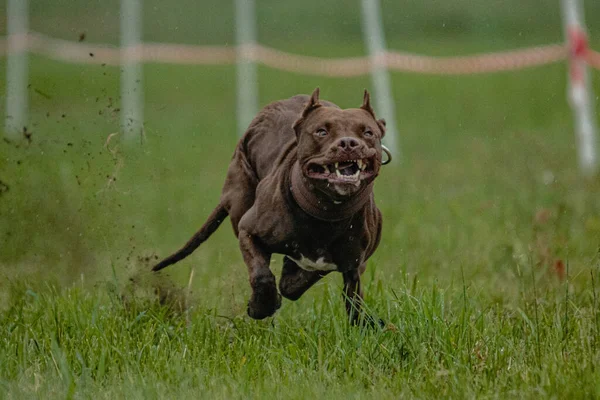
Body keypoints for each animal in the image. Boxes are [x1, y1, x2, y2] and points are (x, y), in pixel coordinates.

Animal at [155, 89, 386, 324]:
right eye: (321, 131)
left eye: (368, 132)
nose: (348, 143)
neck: (326, 210)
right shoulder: (248, 232)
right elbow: (261, 275)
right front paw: (261, 306)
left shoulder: (354, 265)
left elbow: (335, 291)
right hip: (239, 199)